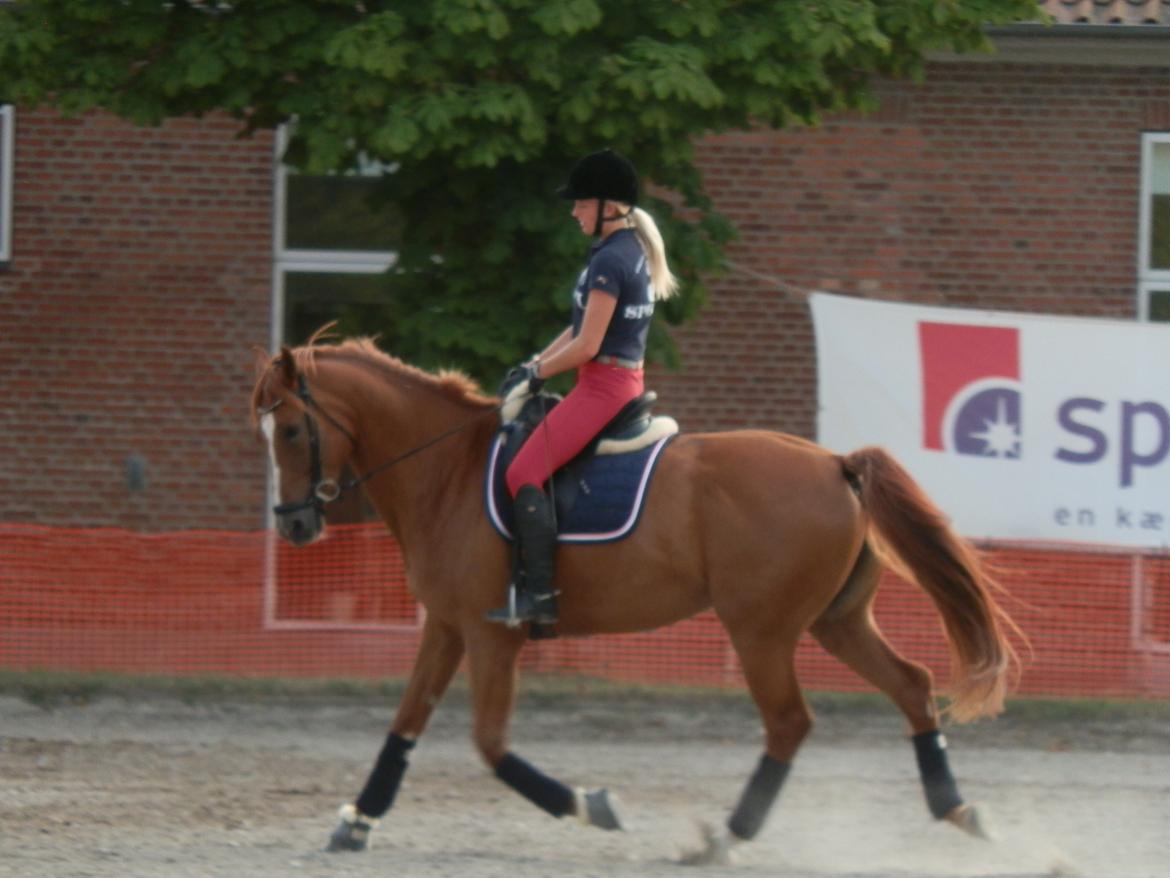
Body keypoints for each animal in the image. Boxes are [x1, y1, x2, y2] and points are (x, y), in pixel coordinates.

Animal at [251, 339, 1020, 861]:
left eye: (288, 430)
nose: (293, 525)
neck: (447, 471)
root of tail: (835, 463)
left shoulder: (493, 632)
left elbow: (491, 745)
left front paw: (592, 804)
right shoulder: (446, 625)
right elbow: (405, 723)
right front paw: (358, 819)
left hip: (762, 629)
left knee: (789, 722)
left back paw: (724, 837)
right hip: (837, 622)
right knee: (912, 686)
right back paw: (962, 811)